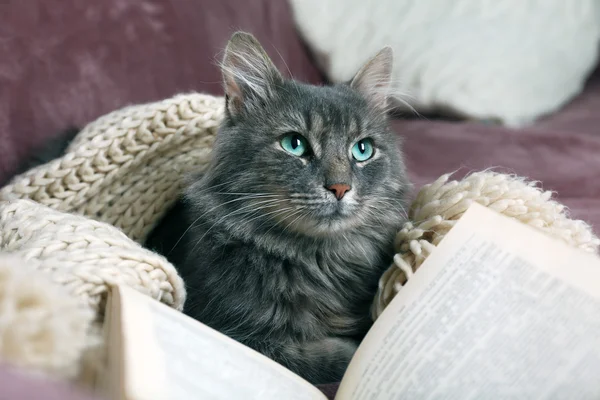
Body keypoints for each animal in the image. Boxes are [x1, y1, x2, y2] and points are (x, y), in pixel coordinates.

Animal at [145, 32, 410, 384]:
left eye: (362, 150)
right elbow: (329, 358)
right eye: (294, 144)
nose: (340, 187)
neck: (318, 259)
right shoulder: (232, 332)